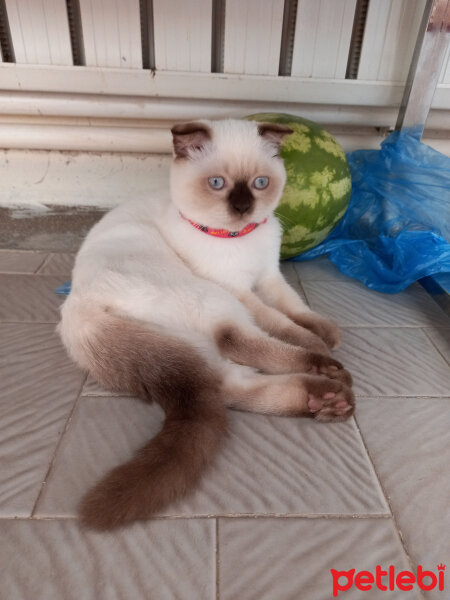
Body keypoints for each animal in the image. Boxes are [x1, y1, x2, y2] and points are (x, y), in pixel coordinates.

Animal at [59, 117, 356, 528]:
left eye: (260, 183)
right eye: (217, 183)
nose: (244, 207)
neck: (239, 239)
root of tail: (77, 312)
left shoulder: (269, 276)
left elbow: (296, 308)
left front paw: (326, 331)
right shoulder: (239, 290)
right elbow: (281, 324)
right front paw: (319, 343)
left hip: (190, 345)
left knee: (229, 388)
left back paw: (326, 399)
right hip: (210, 298)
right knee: (238, 342)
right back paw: (329, 372)